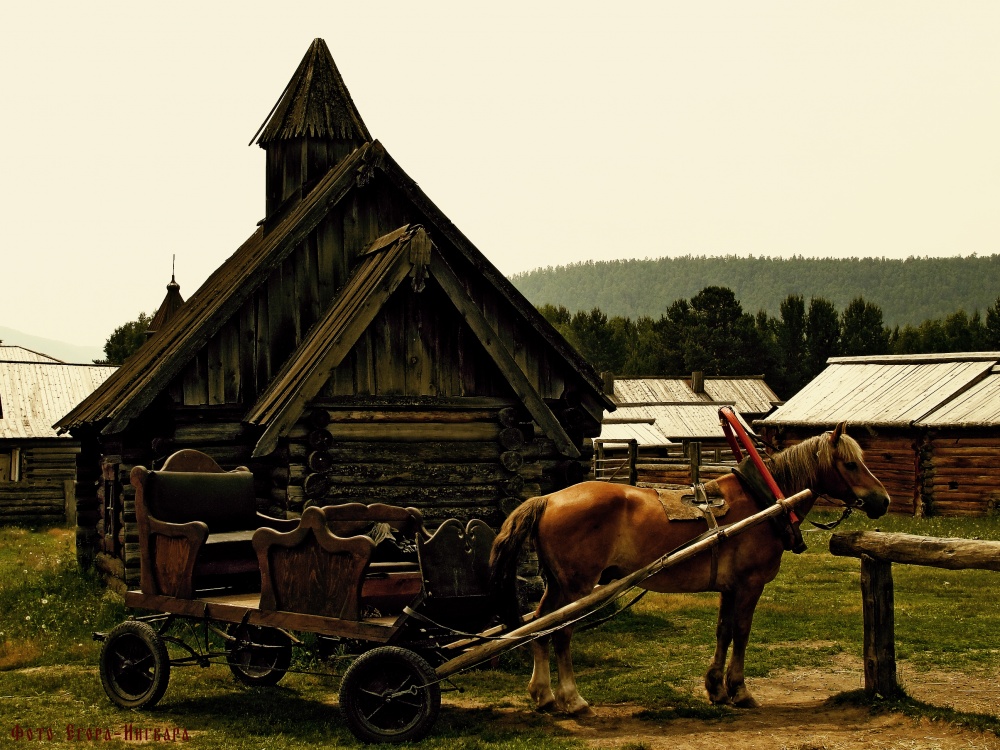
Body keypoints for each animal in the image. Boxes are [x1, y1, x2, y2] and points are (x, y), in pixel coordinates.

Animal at [488, 424, 888, 716]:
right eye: (851, 464)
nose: (882, 501)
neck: (764, 500)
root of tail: (548, 498)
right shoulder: (750, 584)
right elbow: (742, 632)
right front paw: (739, 690)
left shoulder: (730, 587)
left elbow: (724, 631)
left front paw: (716, 688)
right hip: (577, 587)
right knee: (561, 633)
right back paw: (572, 698)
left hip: (557, 584)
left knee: (539, 626)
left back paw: (543, 694)